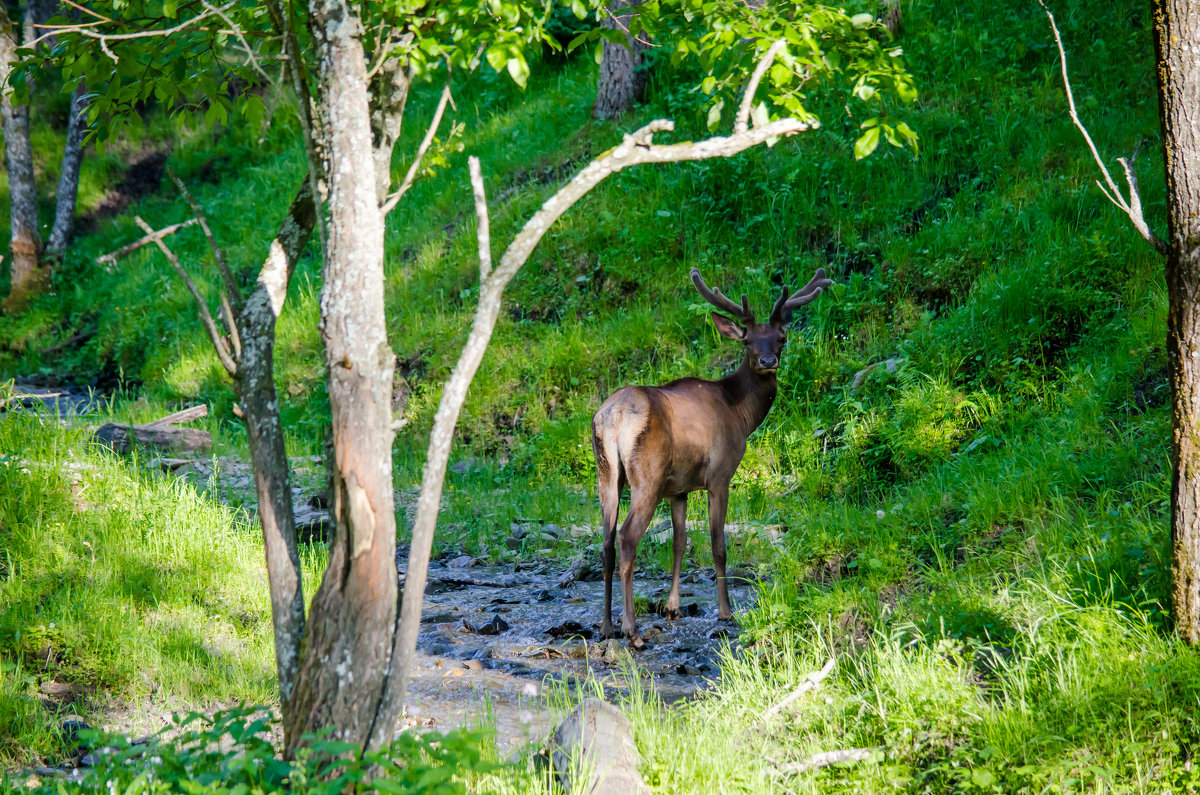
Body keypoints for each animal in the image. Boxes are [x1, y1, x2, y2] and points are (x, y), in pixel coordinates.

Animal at [592, 267, 835, 648]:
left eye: (781, 337)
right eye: (747, 340)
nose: (768, 362)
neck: (740, 413)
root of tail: (614, 416)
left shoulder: (678, 488)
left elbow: (680, 542)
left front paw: (672, 607)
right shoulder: (720, 473)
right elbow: (718, 544)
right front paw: (726, 612)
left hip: (607, 473)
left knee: (605, 542)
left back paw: (605, 626)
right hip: (646, 476)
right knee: (627, 538)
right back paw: (632, 631)